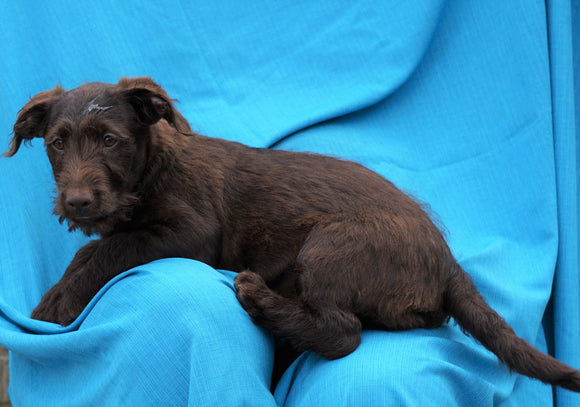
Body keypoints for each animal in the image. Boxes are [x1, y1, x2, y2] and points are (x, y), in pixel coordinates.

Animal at [4, 78, 580, 394]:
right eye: (57, 144)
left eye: (110, 141)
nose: (77, 201)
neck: (153, 169)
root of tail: (446, 260)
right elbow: (99, 244)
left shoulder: (191, 232)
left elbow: (107, 248)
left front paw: (57, 301)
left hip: (330, 248)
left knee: (345, 331)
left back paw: (261, 297)